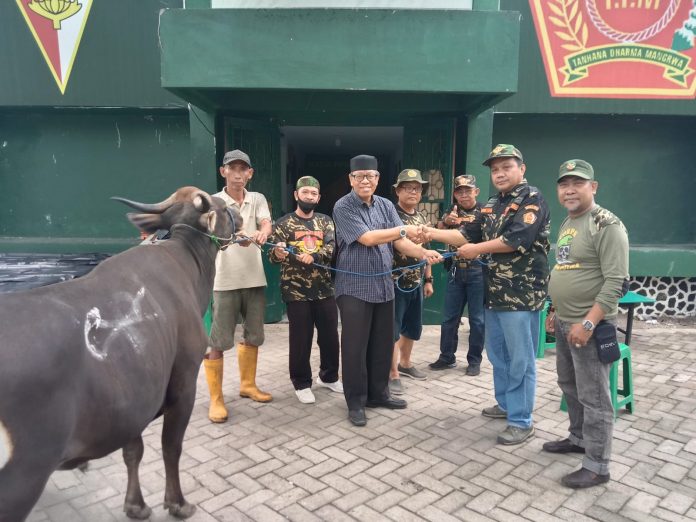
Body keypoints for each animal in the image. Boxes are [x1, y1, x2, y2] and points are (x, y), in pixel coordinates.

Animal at [0, 187, 242, 520]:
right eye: (220, 204)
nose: (240, 214)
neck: (186, 263)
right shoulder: (183, 382)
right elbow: (171, 447)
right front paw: (177, 502)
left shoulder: (132, 401)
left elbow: (133, 451)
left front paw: (136, 505)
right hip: (23, 478)